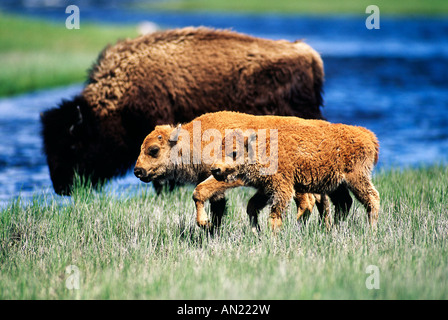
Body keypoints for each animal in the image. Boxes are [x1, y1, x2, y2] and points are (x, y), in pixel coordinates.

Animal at [205, 117, 380, 230]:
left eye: (234, 152)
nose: (215, 169)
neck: (261, 148)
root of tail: (366, 134)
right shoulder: (266, 189)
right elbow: (252, 206)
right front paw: (256, 231)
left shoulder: (282, 188)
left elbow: (275, 215)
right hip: (336, 184)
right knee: (344, 202)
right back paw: (335, 229)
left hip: (356, 178)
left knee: (372, 198)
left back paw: (371, 230)